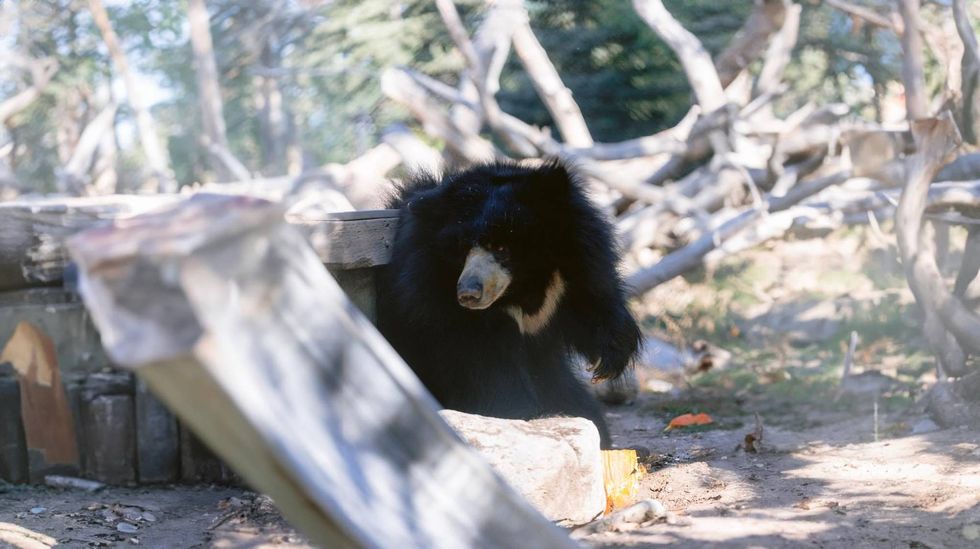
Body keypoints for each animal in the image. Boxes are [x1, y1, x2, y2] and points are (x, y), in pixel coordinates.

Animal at [376, 159, 641, 448]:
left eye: (502, 248)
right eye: (461, 248)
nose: (468, 293)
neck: (522, 287)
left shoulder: (576, 267)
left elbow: (594, 302)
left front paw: (607, 363)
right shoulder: (433, 301)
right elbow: (484, 366)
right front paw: (523, 413)